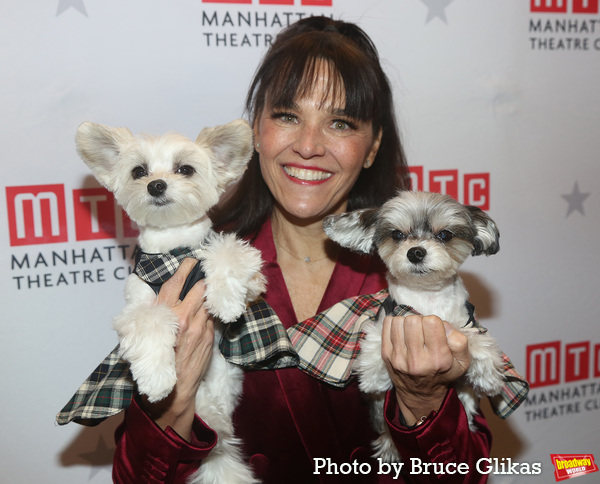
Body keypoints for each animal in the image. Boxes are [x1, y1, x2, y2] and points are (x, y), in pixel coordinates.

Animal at [76, 119, 264, 482]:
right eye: (139, 171)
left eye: (185, 169)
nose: (156, 185)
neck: (172, 252)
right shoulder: (136, 307)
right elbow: (151, 321)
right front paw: (156, 378)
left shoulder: (253, 282)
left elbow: (226, 251)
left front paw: (225, 300)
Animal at [324, 191, 506, 464]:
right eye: (397, 234)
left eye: (445, 235)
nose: (416, 252)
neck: (426, 299)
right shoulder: (389, 316)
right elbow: (376, 337)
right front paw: (374, 375)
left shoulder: (465, 323)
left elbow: (476, 339)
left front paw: (488, 374)